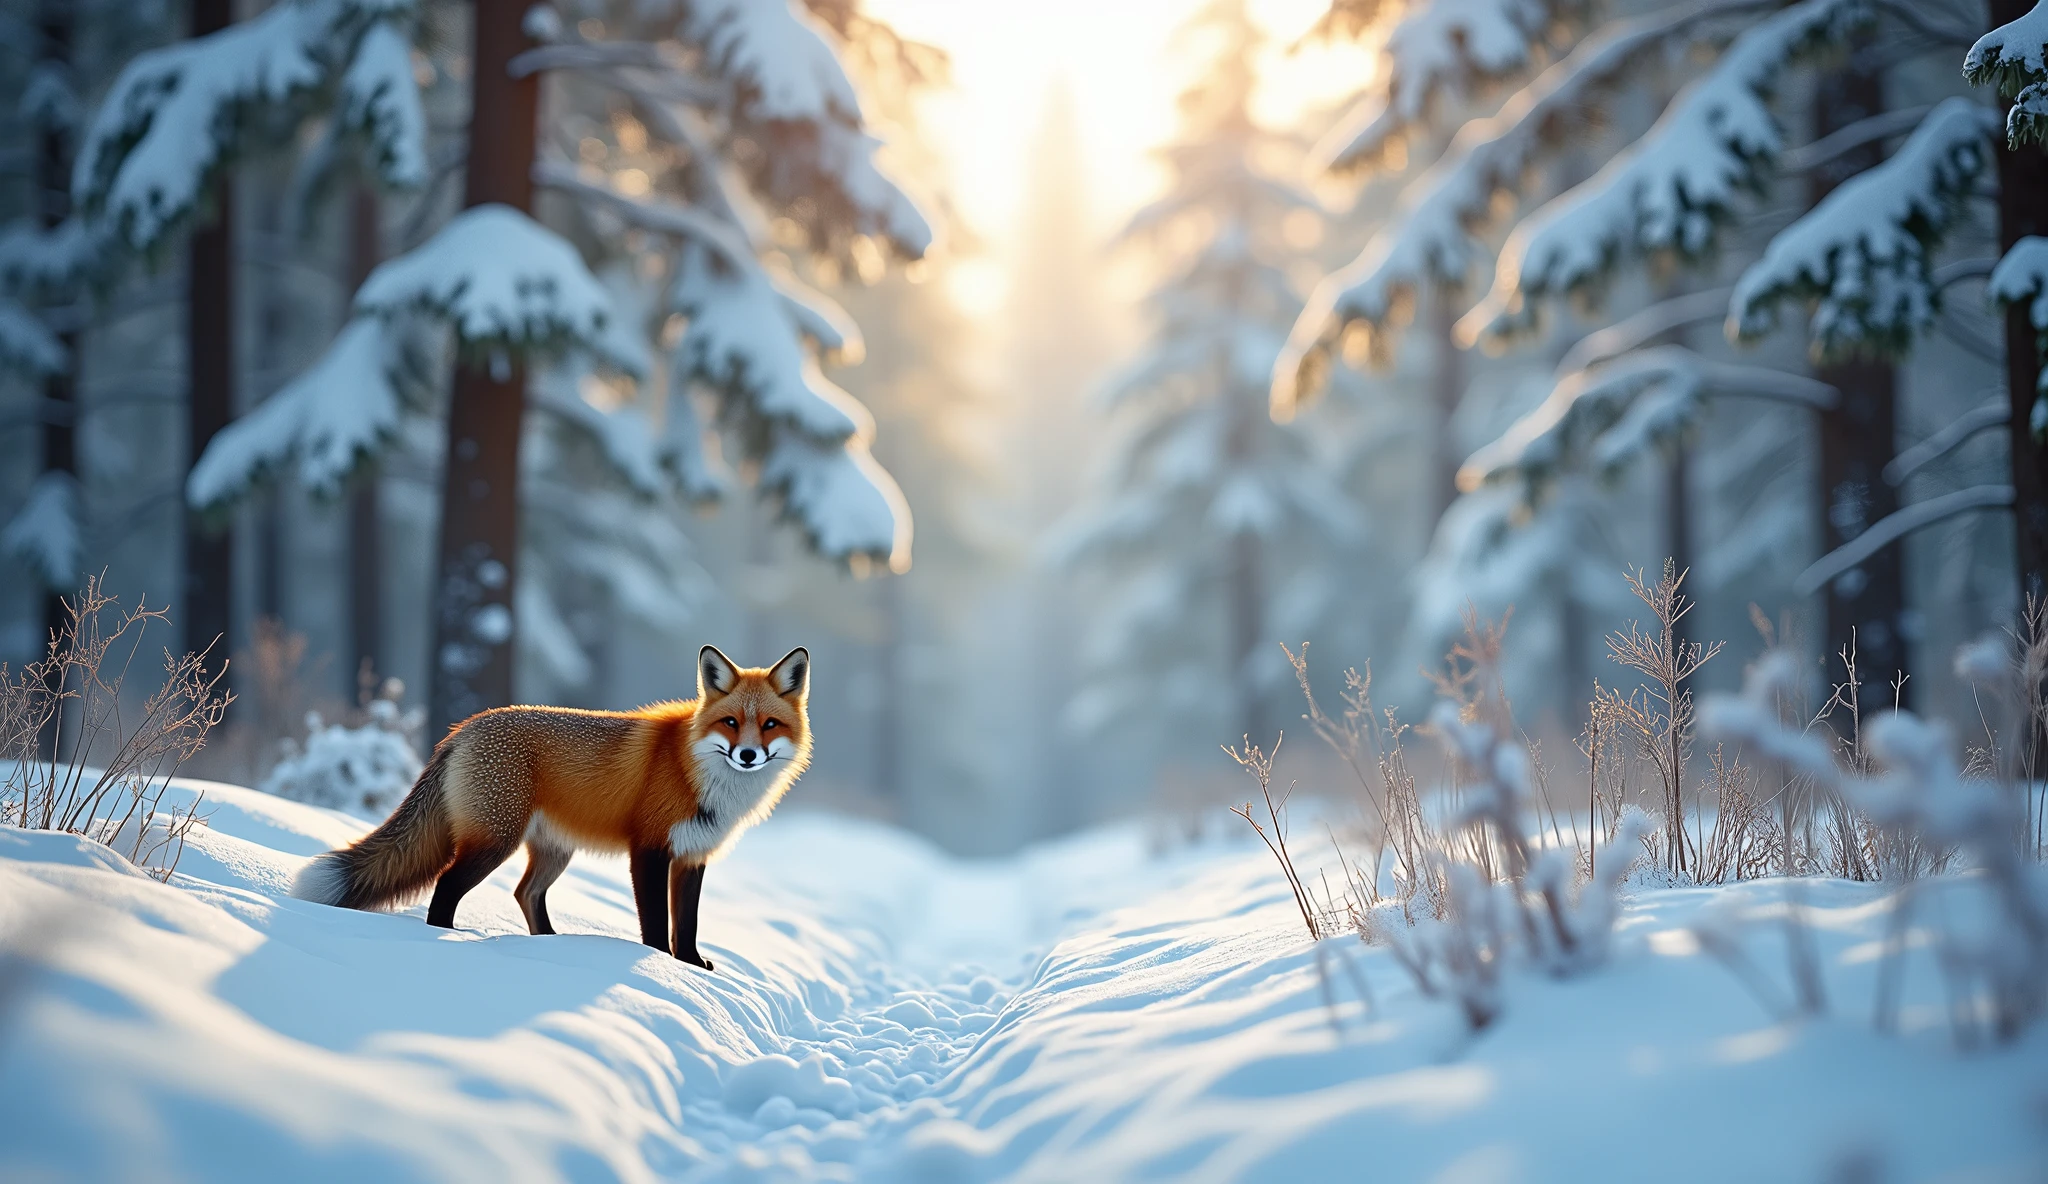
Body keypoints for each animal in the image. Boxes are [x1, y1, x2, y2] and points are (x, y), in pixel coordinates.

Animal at [292, 647, 811, 966]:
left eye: (769, 724)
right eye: (730, 722)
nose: (748, 756)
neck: (694, 771)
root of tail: (462, 728)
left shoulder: (693, 855)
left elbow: (687, 925)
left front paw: (689, 969)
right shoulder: (648, 851)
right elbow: (656, 925)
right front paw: (657, 968)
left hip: (553, 851)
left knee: (525, 893)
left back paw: (551, 948)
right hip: (495, 841)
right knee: (447, 886)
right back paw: (451, 938)